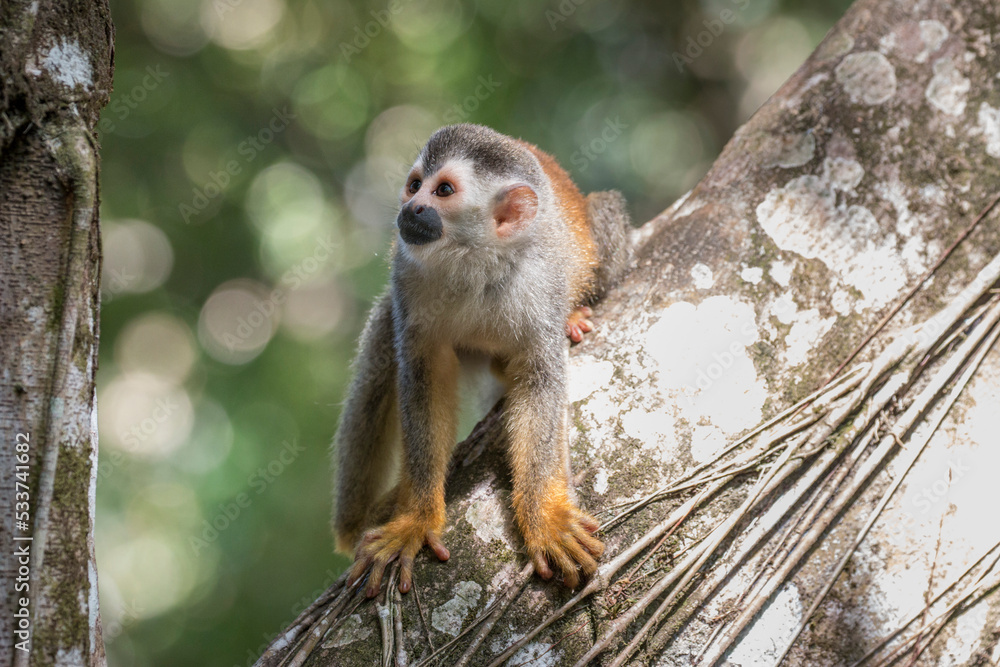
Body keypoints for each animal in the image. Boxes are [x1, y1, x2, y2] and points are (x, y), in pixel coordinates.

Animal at [333, 123, 632, 598]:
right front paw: (415, 518)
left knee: (606, 216)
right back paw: (356, 522)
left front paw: (545, 516)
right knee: (382, 341)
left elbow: (540, 378)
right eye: (415, 185)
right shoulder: (407, 273)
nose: (412, 208)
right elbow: (423, 373)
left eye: (443, 190)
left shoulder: (540, 282)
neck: (475, 259)